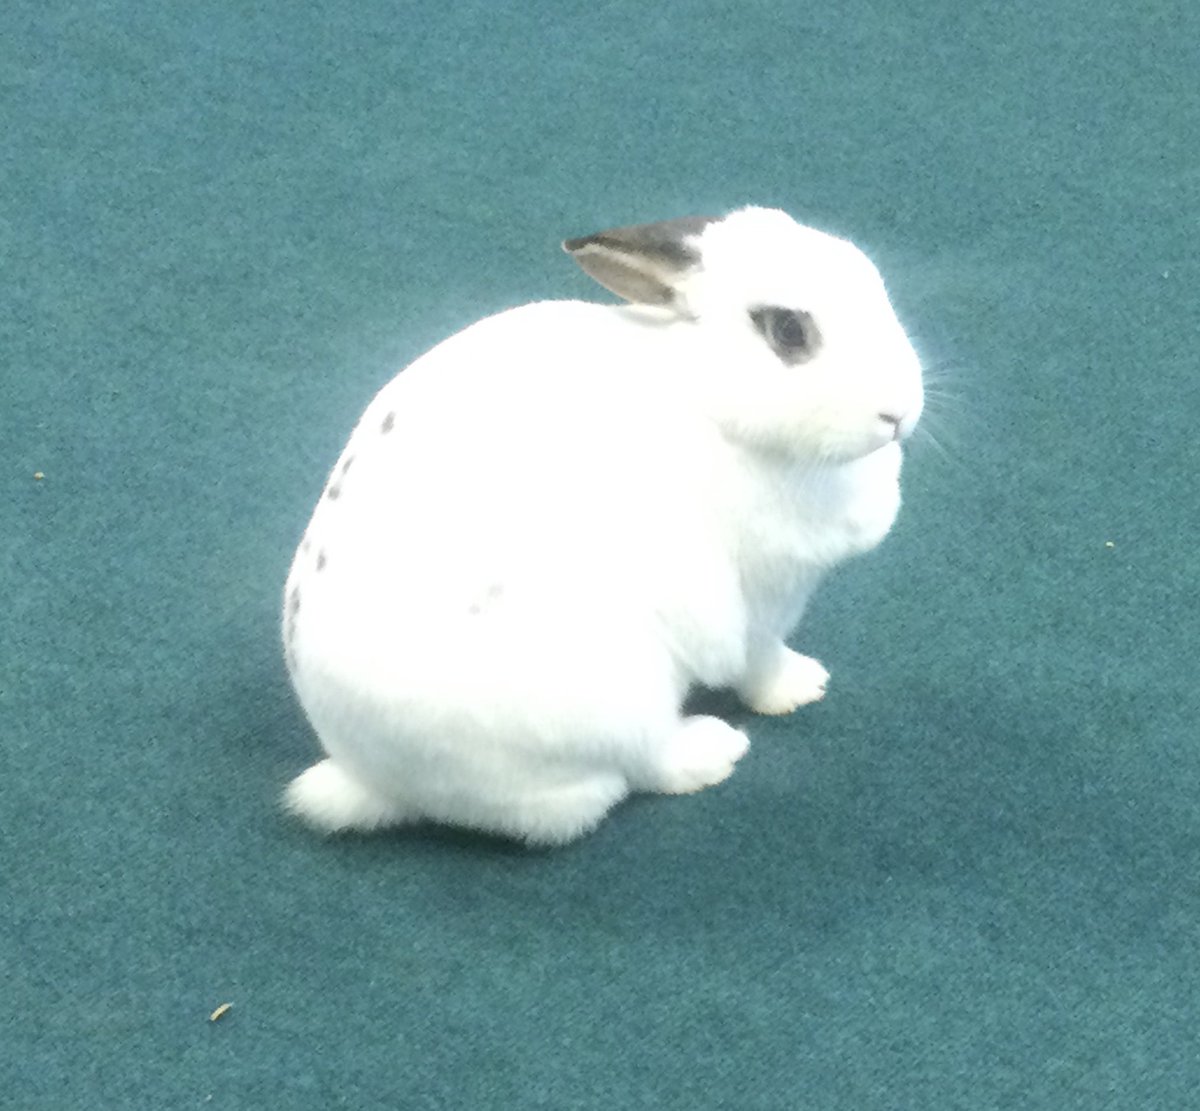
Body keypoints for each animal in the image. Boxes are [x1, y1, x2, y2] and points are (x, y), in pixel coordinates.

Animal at [281, 205, 923, 845]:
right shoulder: (762, 598)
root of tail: (374, 778)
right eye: (788, 331)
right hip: (621, 696)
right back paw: (713, 751)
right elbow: (758, 657)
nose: (900, 411)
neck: (705, 390)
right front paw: (792, 693)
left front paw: (807, 681)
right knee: (636, 767)